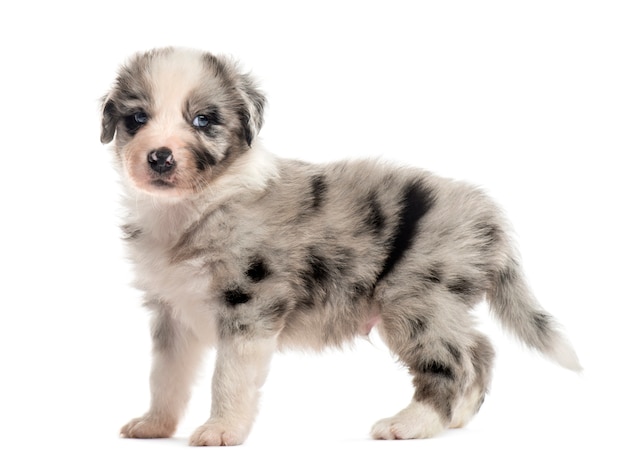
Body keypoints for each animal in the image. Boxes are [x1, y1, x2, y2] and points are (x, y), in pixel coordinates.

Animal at [98, 46, 580, 446]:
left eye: (203, 120)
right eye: (136, 119)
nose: (160, 157)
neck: (192, 208)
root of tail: (491, 218)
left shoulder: (249, 301)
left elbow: (229, 376)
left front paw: (221, 431)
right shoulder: (171, 311)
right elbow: (166, 376)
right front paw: (154, 425)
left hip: (416, 300)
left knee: (453, 361)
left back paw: (410, 424)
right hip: (442, 304)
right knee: (480, 348)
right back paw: (455, 418)